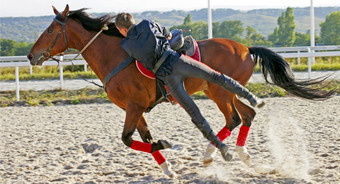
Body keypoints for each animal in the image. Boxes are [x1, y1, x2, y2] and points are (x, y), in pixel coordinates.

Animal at [27, 4, 334, 177]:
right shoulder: (136, 109)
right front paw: (167, 166)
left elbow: (129, 139)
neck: (116, 55)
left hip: (219, 92)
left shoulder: (134, 106)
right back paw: (239, 151)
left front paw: (168, 146)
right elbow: (144, 138)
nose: (31, 56)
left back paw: (214, 153)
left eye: (51, 30)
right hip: (219, 90)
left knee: (233, 118)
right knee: (245, 115)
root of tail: (246, 48)